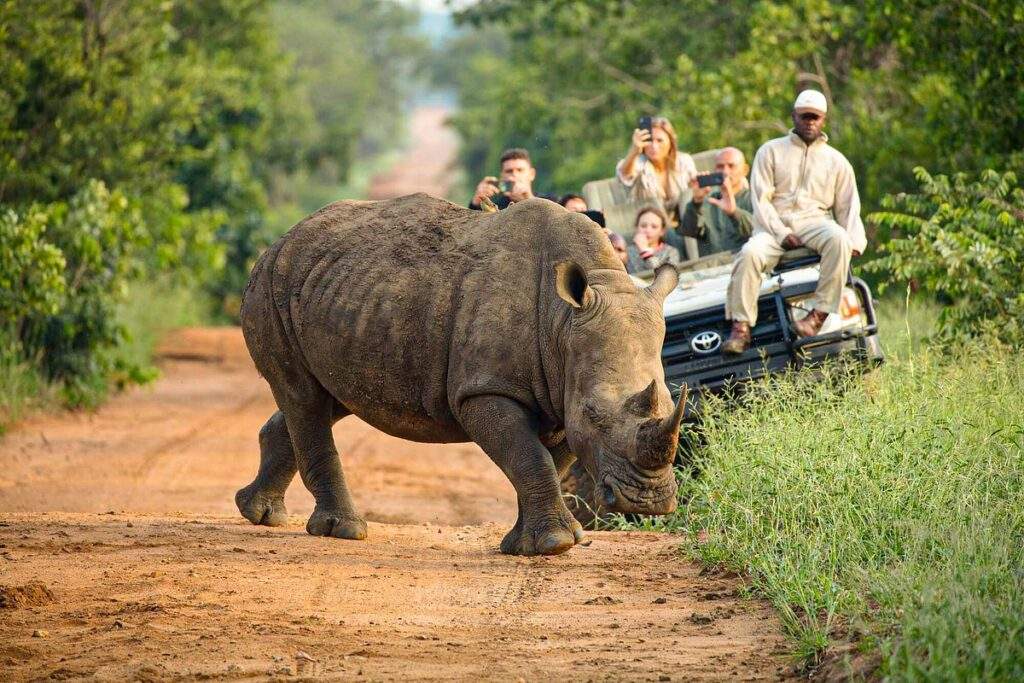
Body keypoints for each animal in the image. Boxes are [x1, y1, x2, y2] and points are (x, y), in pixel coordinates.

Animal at [235, 194, 686, 556]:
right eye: (594, 413)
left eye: (670, 399)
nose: (647, 502)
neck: (562, 322)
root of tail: (280, 241)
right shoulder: (485, 390)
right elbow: (530, 458)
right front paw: (555, 545)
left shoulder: (560, 393)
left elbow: (547, 464)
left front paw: (525, 546)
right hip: (272, 285)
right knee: (304, 397)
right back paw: (342, 531)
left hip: (345, 295)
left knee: (327, 398)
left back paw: (258, 512)